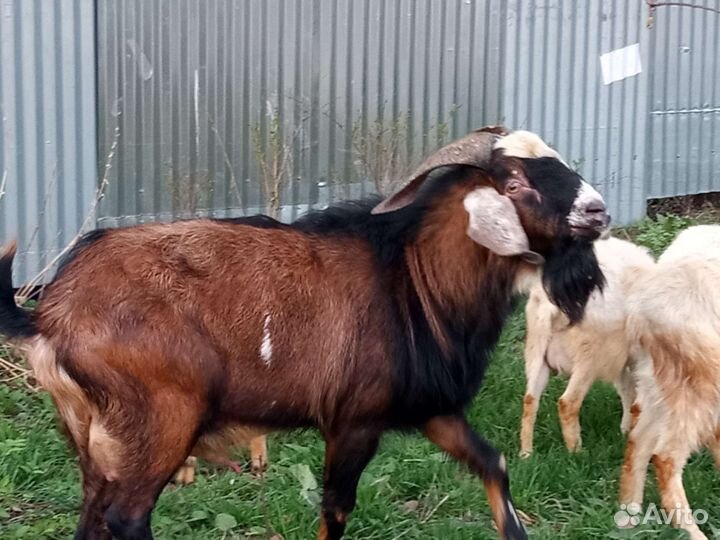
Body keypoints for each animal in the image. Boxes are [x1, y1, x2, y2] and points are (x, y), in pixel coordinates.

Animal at [0, 126, 610, 540]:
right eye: (515, 180)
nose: (598, 211)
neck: (411, 277)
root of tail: (53, 313)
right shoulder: (355, 418)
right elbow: (335, 509)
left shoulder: (431, 408)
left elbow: (493, 462)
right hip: (163, 418)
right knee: (126, 516)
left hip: (91, 433)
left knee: (93, 513)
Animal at [518, 237, 654, 457]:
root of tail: (550, 305)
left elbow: (627, 391)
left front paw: (625, 430)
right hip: (589, 356)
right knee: (568, 403)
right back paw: (576, 452)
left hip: (536, 349)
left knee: (530, 399)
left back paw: (526, 454)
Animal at [620, 225, 720, 540]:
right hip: (699, 385)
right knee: (665, 457)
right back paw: (693, 533)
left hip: (660, 383)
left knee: (638, 441)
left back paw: (628, 518)